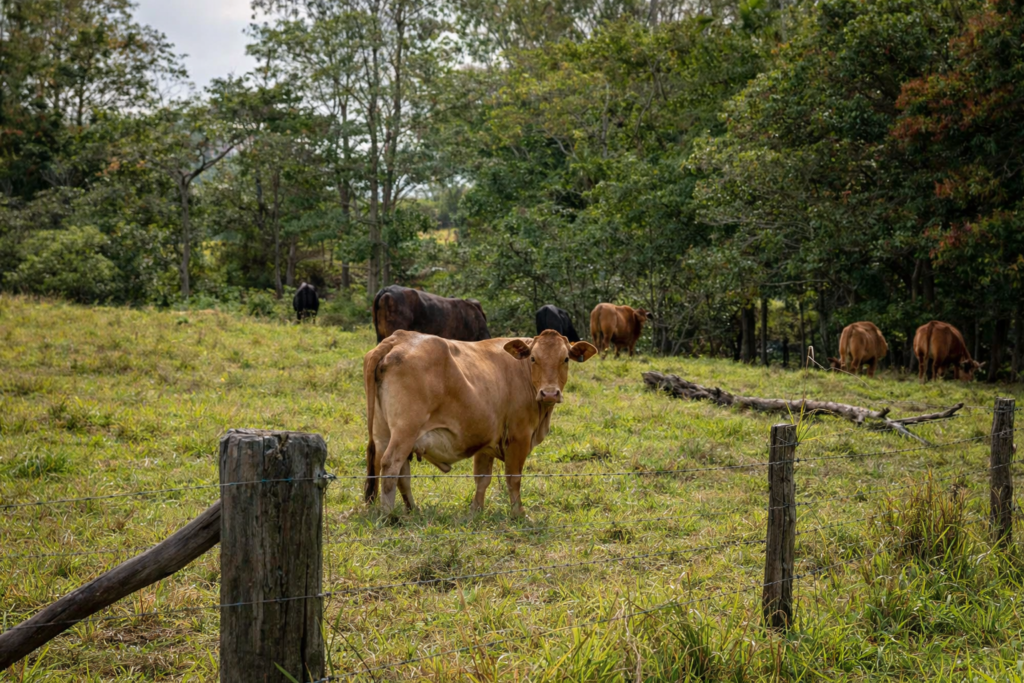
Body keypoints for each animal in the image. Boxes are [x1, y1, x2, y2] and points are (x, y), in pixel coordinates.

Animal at [363, 329, 597, 515]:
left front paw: (476, 510)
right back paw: (389, 514)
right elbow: (513, 478)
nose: (549, 393)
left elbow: (482, 478)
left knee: (398, 472)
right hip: (405, 431)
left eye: (565, 359)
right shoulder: (518, 436)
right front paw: (519, 513)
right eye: (533, 358)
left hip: (384, 433)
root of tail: (399, 337)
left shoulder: (487, 440)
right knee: (390, 465)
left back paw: (413, 509)